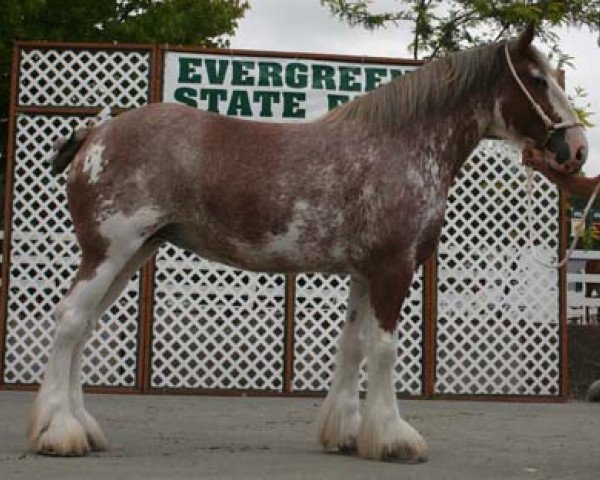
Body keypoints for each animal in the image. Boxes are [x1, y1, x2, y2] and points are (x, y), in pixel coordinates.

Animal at [27, 24, 584, 464]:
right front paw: (393, 439)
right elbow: (384, 348)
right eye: (538, 80)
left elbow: (352, 346)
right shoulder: (393, 268)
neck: (399, 146)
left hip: (132, 254)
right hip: (110, 252)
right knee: (71, 321)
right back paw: (59, 433)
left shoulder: (364, 272)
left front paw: (347, 433)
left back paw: (81, 428)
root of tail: (96, 131)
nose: (576, 149)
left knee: (83, 328)